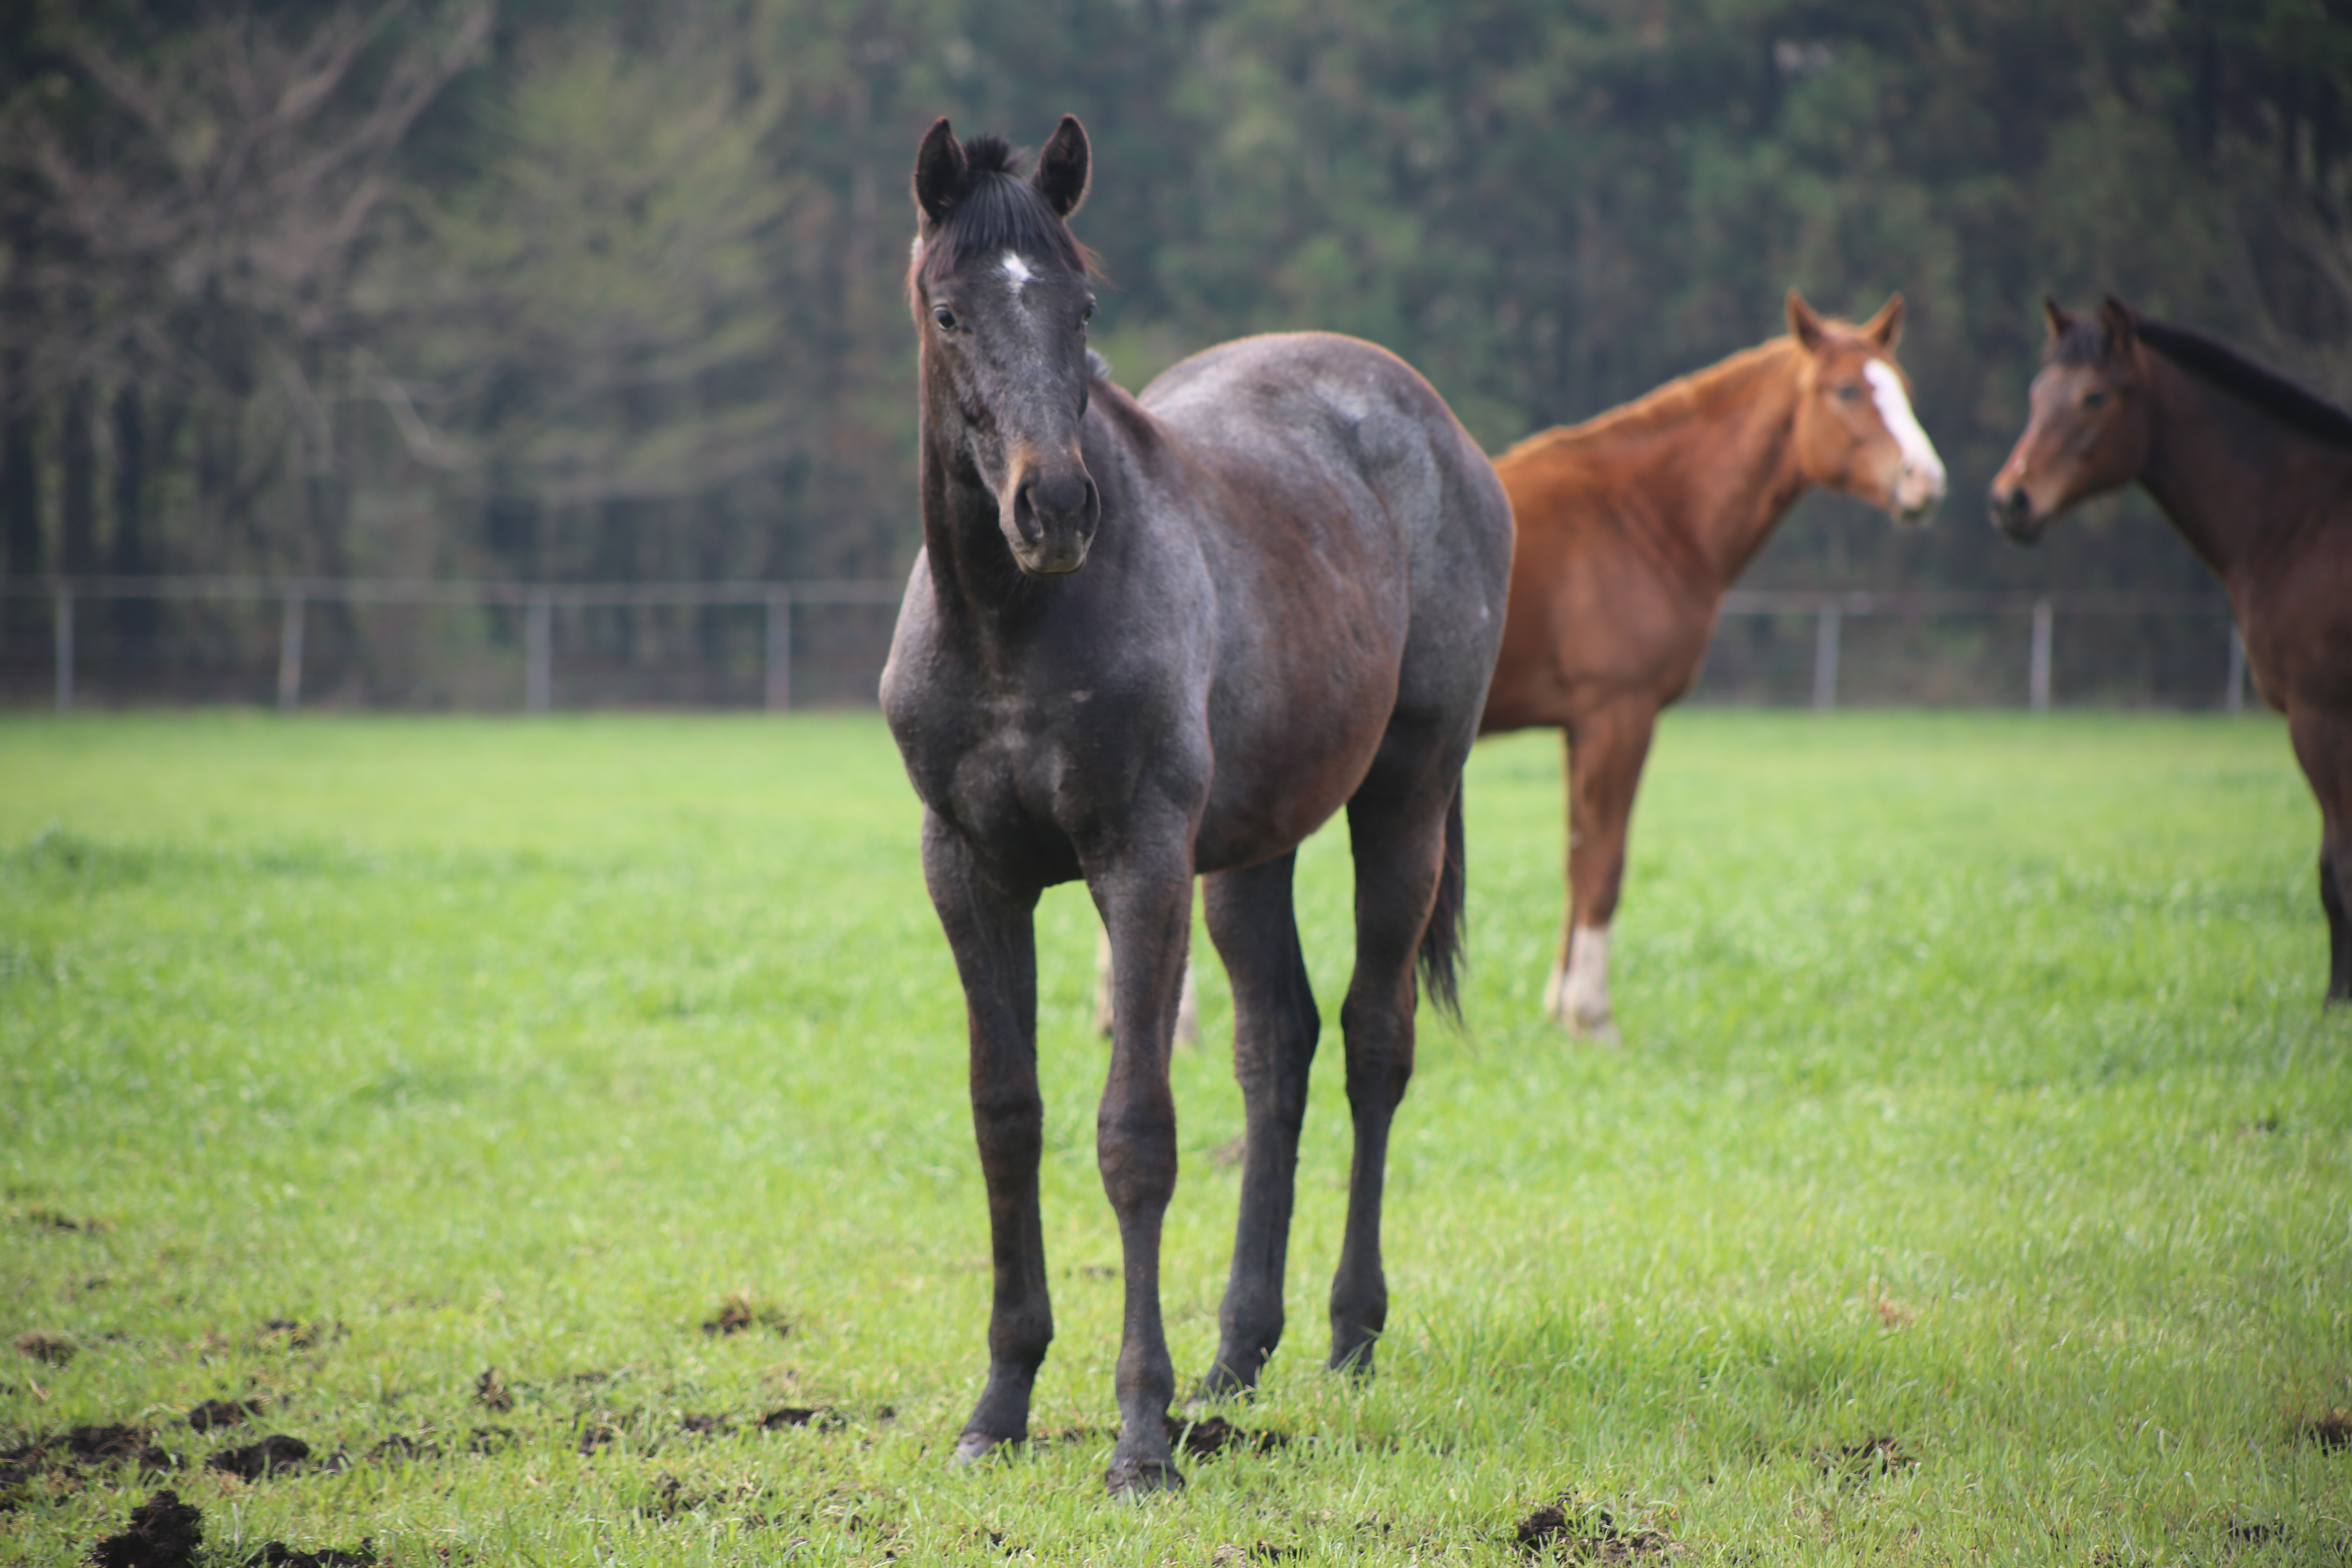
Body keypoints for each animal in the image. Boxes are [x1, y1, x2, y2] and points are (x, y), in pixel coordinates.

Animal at [880, 120, 1505, 1495]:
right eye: (949, 311)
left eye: (1082, 306)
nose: (1055, 508)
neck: (1011, 627)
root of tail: (1439, 428)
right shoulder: (969, 871)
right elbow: (1007, 1116)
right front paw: (1001, 1402)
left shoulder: (1140, 862)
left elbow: (1135, 1135)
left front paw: (1138, 1439)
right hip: (1250, 854)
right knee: (1278, 1047)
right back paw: (1238, 1354)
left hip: (1404, 800)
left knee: (1374, 1041)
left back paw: (1347, 1334)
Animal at [1486, 296, 1947, 1044]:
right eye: (1846, 390)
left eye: (1902, 388)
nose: (1925, 482)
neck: (1641, 514)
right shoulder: (1620, 716)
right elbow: (1604, 868)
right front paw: (1593, 1018)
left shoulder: (1579, 727)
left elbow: (1577, 860)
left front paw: (1561, 1010)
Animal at [1994, 296, 2352, 1006]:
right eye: (2037, 394)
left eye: (2094, 396)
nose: (2010, 499)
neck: (2299, 520)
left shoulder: (2321, 713)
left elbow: (2340, 868)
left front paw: (2337, 1003)